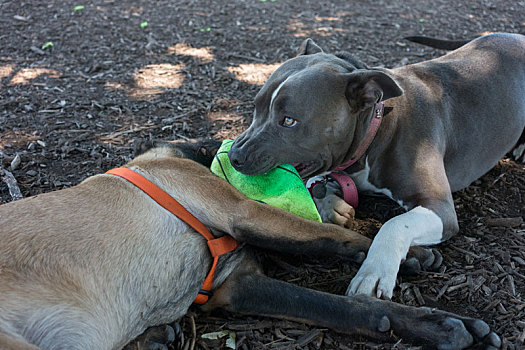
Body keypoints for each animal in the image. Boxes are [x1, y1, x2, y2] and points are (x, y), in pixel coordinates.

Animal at [0, 140, 500, 350]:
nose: (329, 187)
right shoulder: (244, 212)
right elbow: (339, 237)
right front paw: (409, 255)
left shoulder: (236, 287)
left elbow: (343, 305)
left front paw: (428, 323)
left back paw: (156, 337)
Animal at [230, 33, 524, 298]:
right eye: (256, 107)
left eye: (289, 121)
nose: (234, 155)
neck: (376, 129)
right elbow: (315, 185)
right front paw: (331, 205)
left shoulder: (439, 207)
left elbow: (393, 225)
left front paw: (374, 272)